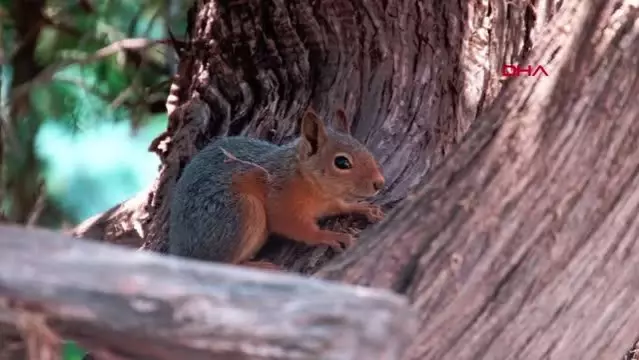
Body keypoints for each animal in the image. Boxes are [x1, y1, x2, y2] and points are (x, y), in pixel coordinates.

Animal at [168, 108, 384, 268]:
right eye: (342, 162)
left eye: (366, 149)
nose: (379, 183)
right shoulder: (282, 202)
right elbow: (297, 227)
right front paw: (329, 235)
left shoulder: (326, 202)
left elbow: (339, 206)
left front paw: (362, 207)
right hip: (240, 211)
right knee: (223, 264)